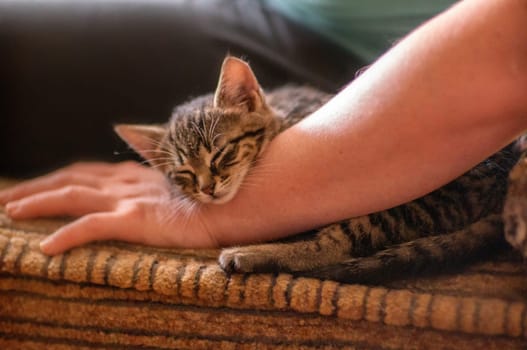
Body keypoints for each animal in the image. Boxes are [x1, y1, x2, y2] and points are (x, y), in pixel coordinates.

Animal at [115, 56, 524, 284]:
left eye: (221, 154)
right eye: (182, 174)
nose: (206, 189)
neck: (283, 120)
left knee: (333, 245)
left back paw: (250, 254)